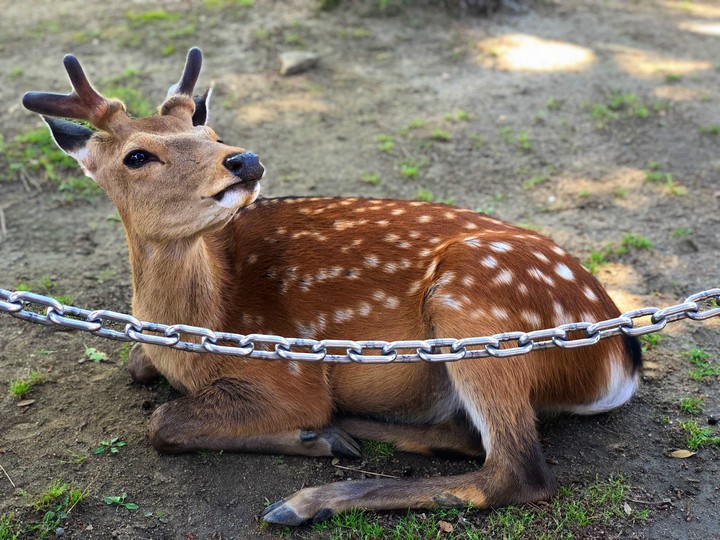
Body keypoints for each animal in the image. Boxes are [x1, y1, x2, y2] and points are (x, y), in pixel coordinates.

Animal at [22, 48, 642, 526]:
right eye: (137, 155)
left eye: (209, 132)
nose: (243, 159)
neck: (198, 329)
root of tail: (622, 355)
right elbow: (135, 365)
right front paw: (317, 435)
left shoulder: (287, 372)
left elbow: (162, 422)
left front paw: (308, 434)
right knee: (470, 437)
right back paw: (348, 431)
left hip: (474, 306)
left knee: (516, 471)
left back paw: (307, 496)